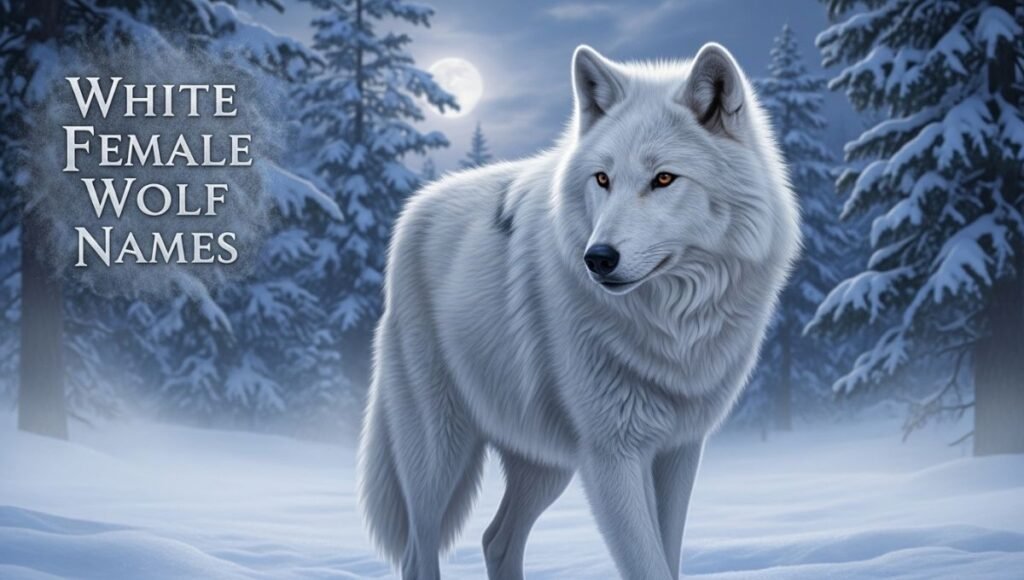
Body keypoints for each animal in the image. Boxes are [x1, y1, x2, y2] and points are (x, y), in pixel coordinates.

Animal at [357, 42, 800, 580]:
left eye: (664, 178)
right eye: (603, 179)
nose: (598, 258)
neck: (670, 325)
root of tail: (415, 207)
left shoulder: (679, 450)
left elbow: (668, 558)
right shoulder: (612, 456)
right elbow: (647, 564)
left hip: (546, 461)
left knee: (495, 539)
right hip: (438, 450)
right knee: (417, 553)